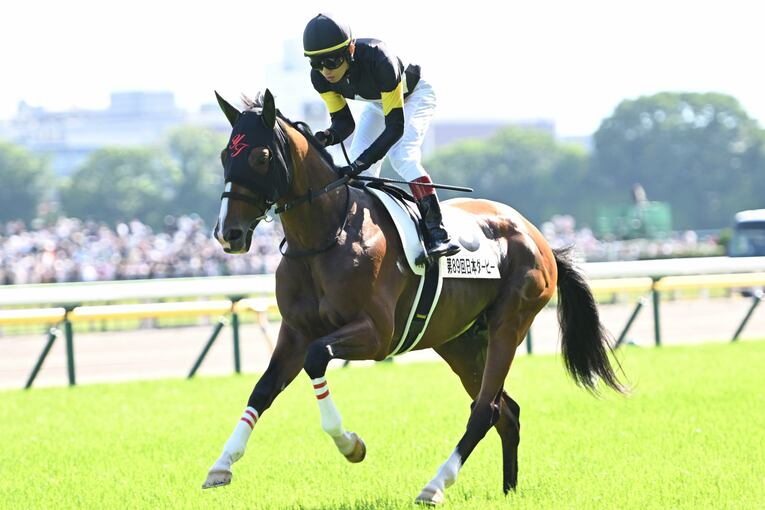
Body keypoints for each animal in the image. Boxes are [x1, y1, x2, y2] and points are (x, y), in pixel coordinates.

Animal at [204, 89, 625, 505]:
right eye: (225, 155)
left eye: (261, 157)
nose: (228, 234)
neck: (325, 237)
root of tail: (539, 238)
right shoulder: (295, 332)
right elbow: (263, 388)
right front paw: (221, 465)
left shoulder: (376, 335)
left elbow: (317, 358)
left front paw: (350, 444)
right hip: (460, 341)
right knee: (506, 411)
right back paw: (509, 490)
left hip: (509, 324)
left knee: (485, 409)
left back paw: (435, 485)